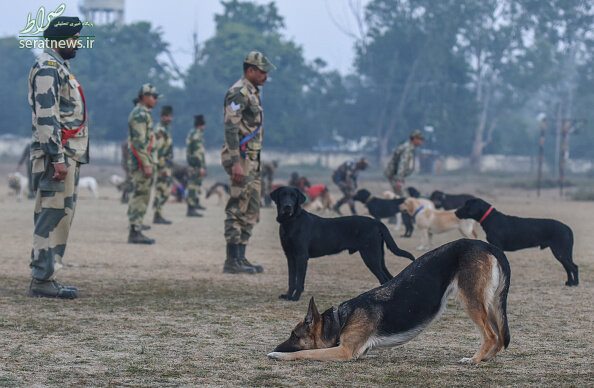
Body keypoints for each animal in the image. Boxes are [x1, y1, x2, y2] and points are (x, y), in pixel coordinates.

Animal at [268, 239, 508, 364]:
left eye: (294, 335)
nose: (274, 347)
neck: (340, 320)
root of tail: (487, 245)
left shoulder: (344, 351)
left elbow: (305, 352)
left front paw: (279, 354)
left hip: (471, 300)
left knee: (491, 335)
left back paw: (474, 360)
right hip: (489, 303)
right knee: (500, 336)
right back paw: (486, 358)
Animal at [270, 186, 414, 302]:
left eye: (293, 196)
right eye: (282, 195)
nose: (287, 206)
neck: (290, 221)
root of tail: (376, 222)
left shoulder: (301, 256)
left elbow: (299, 280)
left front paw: (295, 297)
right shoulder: (290, 256)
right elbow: (291, 279)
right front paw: (288, 295)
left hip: (370, 256)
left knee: (383, 279)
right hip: (379, 257)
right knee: (389, 278)